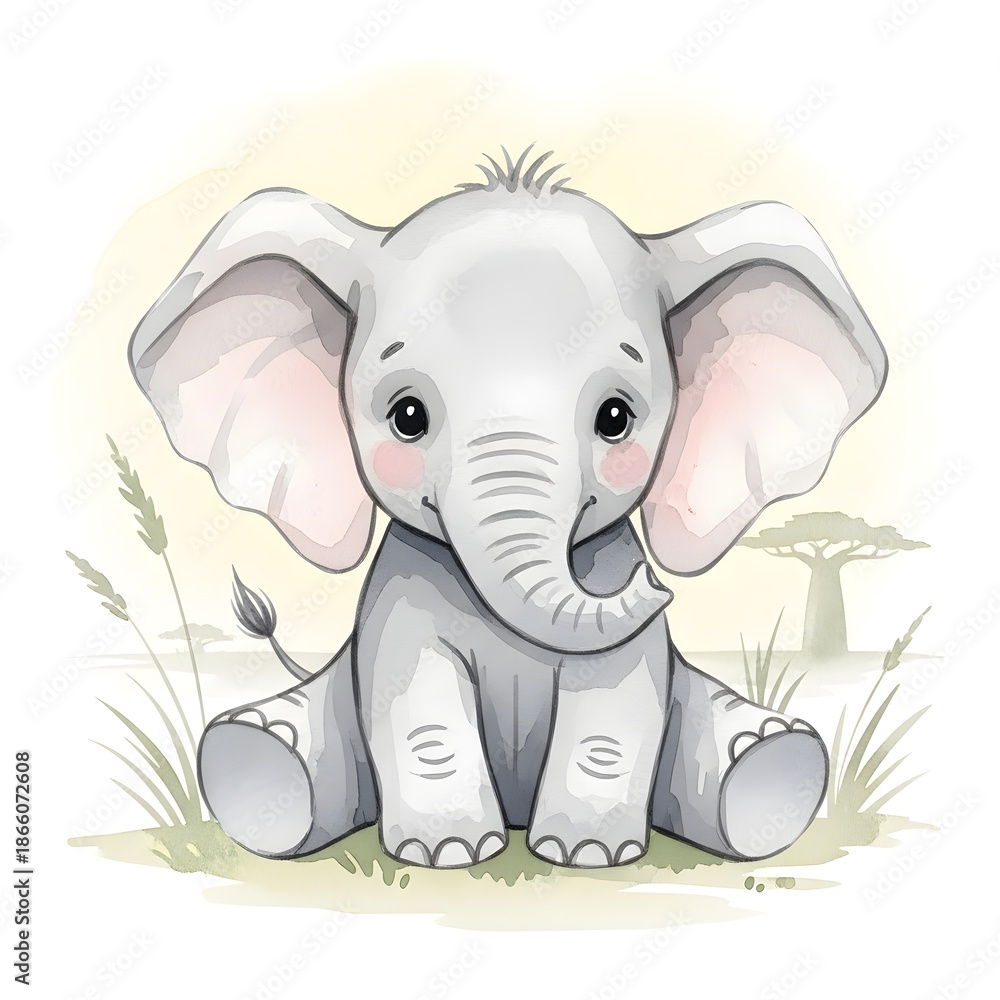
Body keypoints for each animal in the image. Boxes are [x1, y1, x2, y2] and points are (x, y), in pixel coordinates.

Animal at [128, 147, 886, 868]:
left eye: (617, 418)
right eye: (407, 417)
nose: (652, 583)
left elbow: (614, 703)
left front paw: (588, 855)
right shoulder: (401, 596)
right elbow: (419, 699)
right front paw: (446, 854)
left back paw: (769, 756)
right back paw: (260, 752)